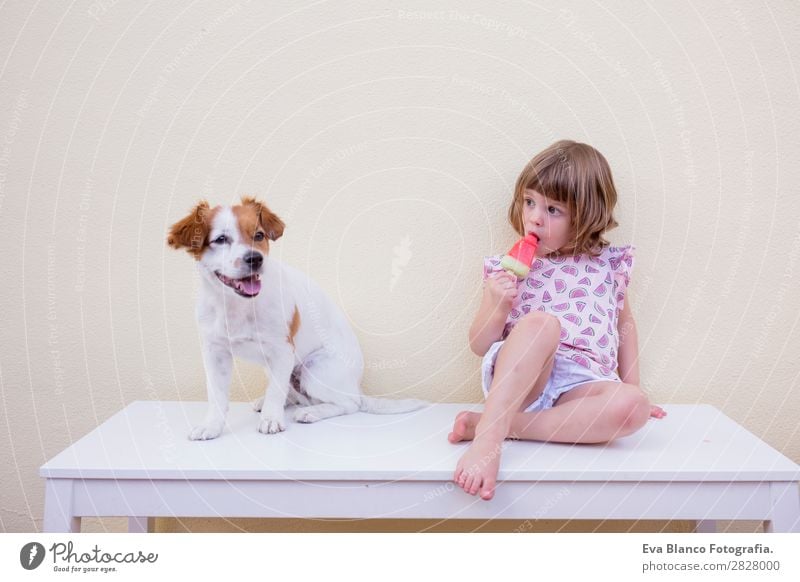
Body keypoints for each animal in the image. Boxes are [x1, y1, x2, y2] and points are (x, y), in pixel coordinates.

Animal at [167, 198, 424, 440]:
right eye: (221, 239)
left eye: (259, 235)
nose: (255, 259)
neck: (236, 305)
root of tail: (356, 387)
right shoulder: (215, 353)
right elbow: (217, 396)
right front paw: (211, 426)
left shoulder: (282, 351)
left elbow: (275, 393)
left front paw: (272, 419)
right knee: (297, 396)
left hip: (315, 369)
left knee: (348, 404)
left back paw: (312, 412)